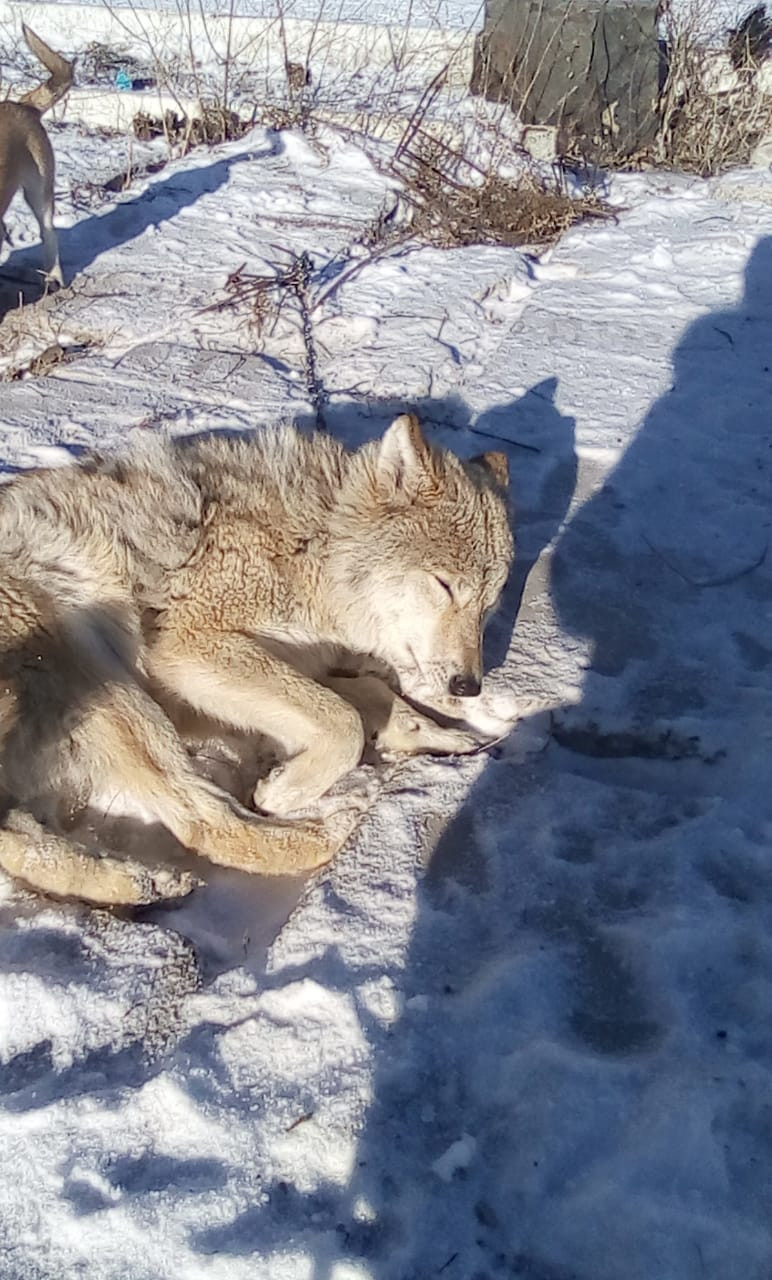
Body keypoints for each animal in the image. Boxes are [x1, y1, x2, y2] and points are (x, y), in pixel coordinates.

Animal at [0, 414, 514, 906]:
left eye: (488, 605)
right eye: (445, 585)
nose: (469, 686)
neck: (311, 546)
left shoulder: (293, 662)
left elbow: (371, 696)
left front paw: (445, 736)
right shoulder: (190, 646)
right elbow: (344, 722)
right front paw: (282, 790)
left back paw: (145, 884)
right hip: (93, 667)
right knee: (209, 821)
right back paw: (338, 821)